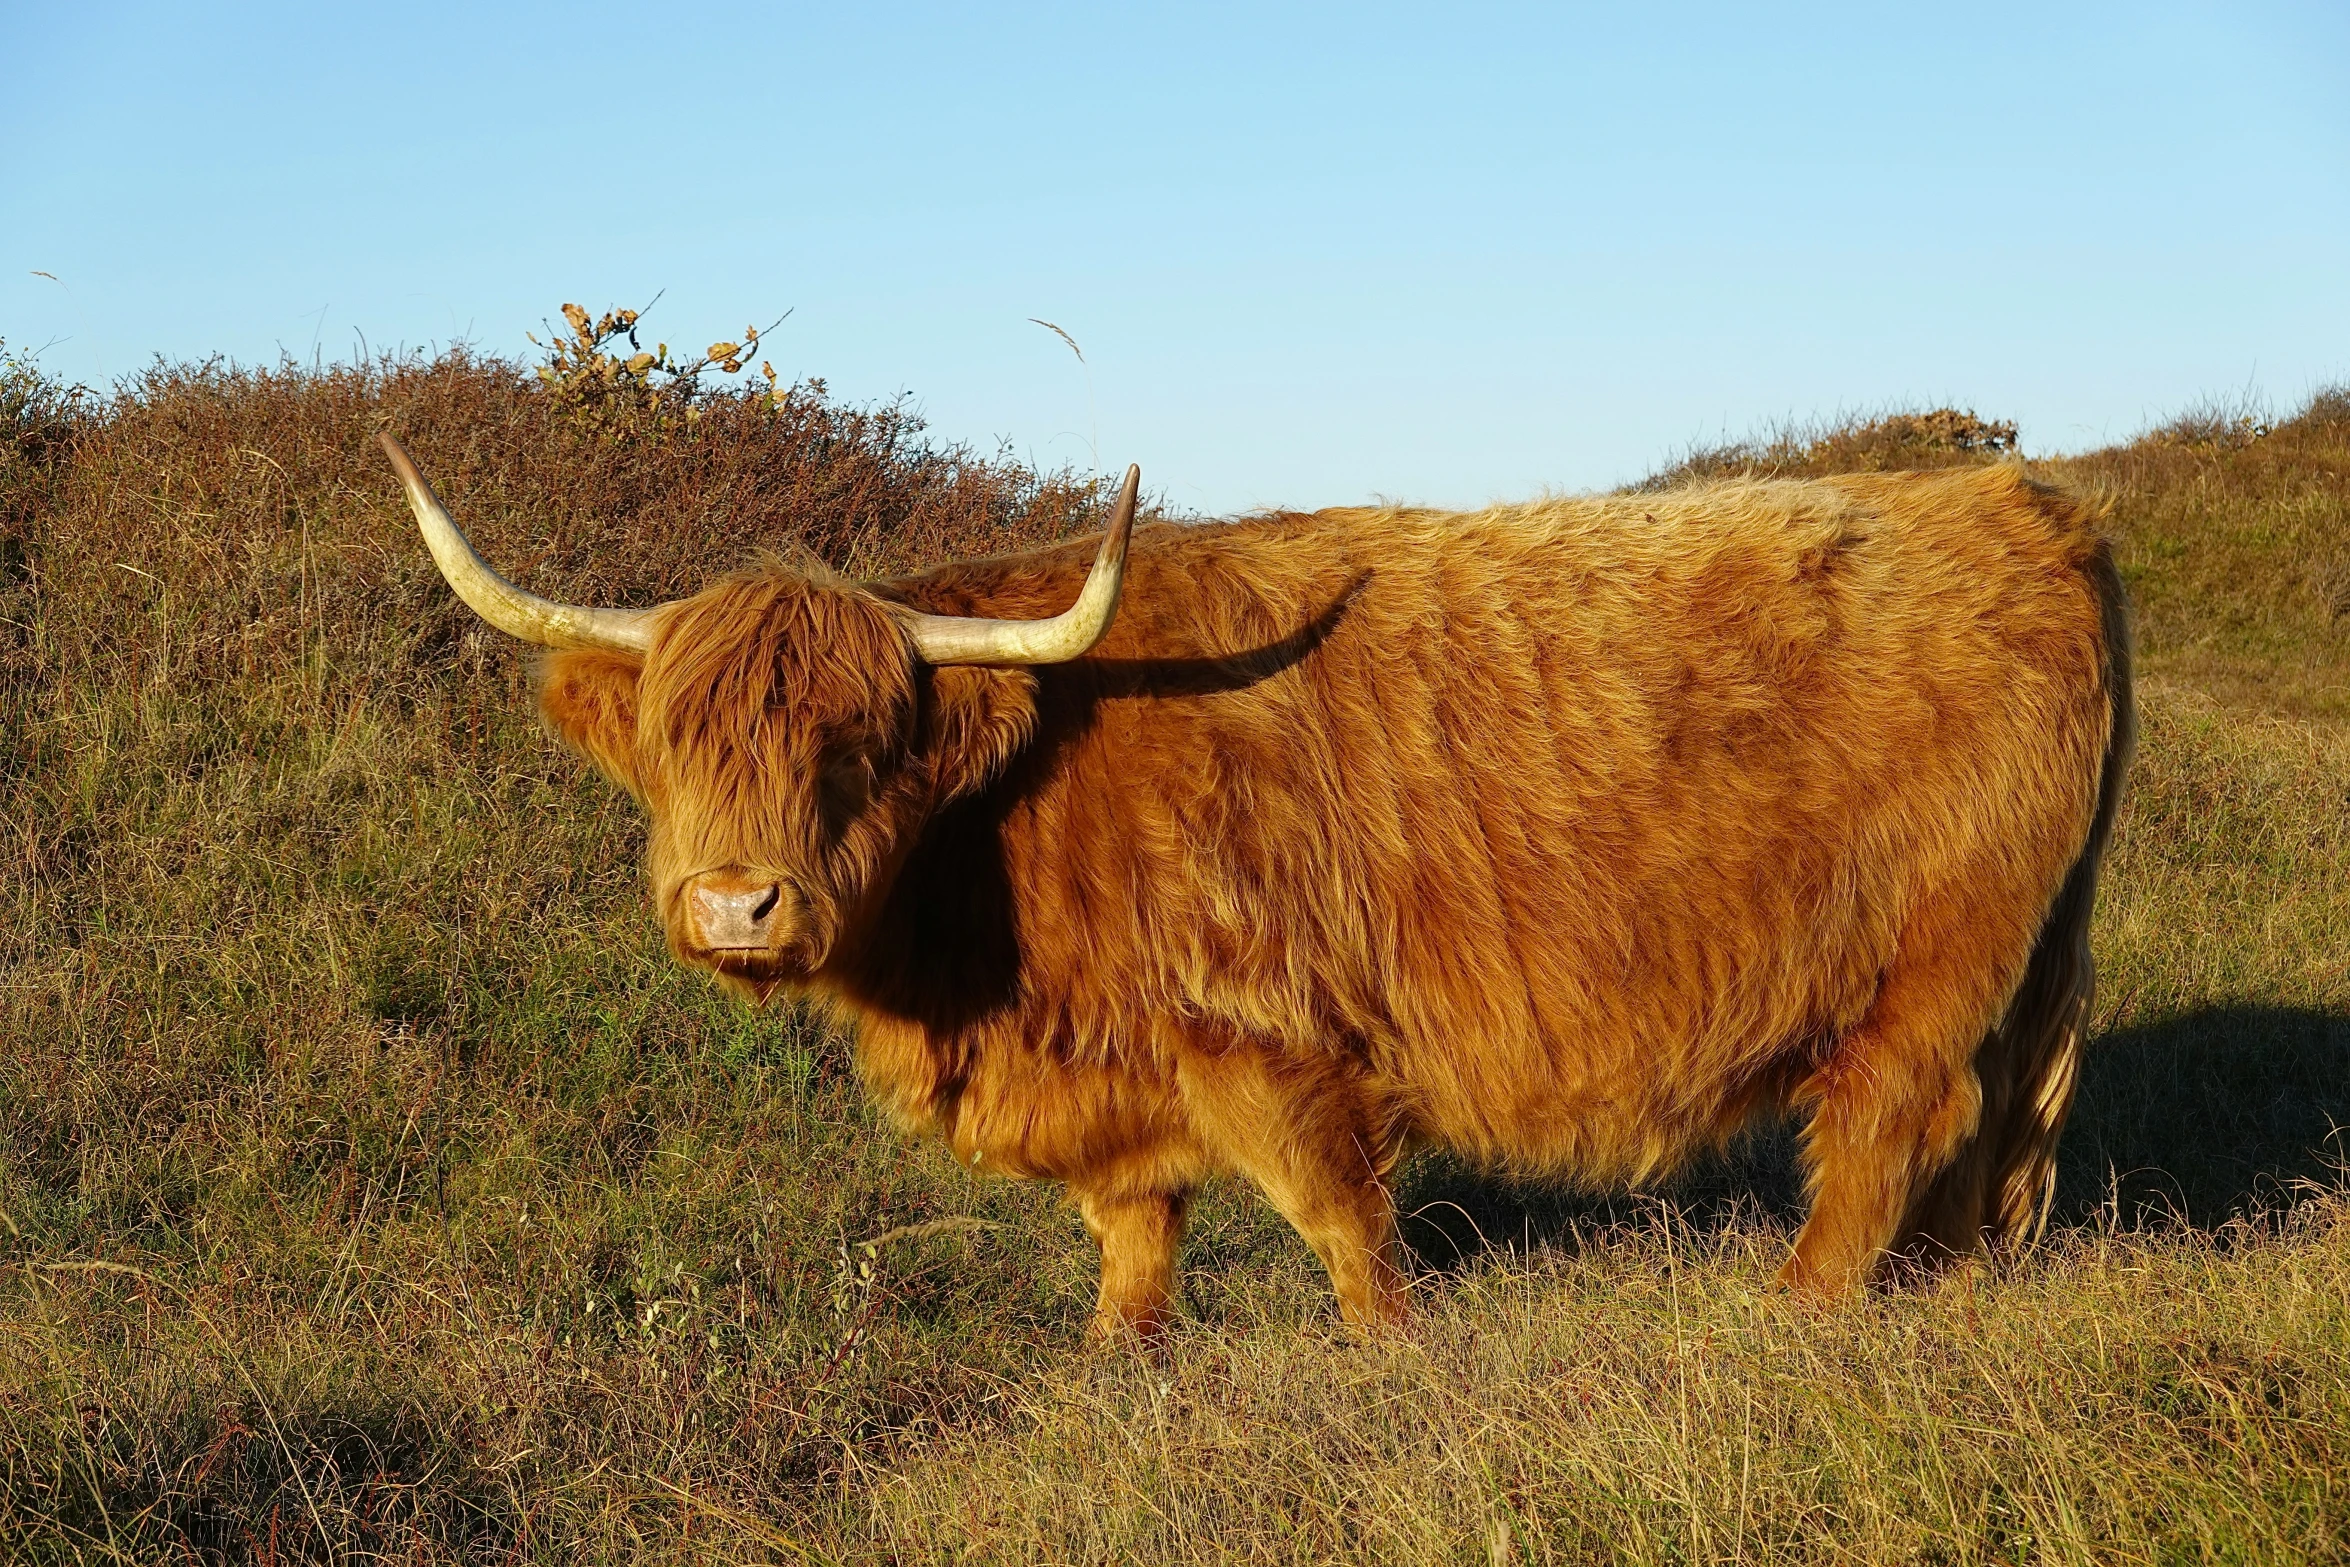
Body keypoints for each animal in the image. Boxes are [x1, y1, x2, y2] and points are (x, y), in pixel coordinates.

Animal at [380, 434, 2133, 1343]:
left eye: (859, 739)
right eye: (678, 740)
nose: (738, 902)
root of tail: (2015, 501)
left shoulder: (1265, 1035)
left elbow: (1334, 1214)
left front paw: (1387, 1354)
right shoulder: (1110, 1065)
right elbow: (1131, 1226)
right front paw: (1118, 1357)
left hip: (1934, 954)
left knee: (1890, 1116)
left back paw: (1797, 1309)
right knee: (1973, 1130)